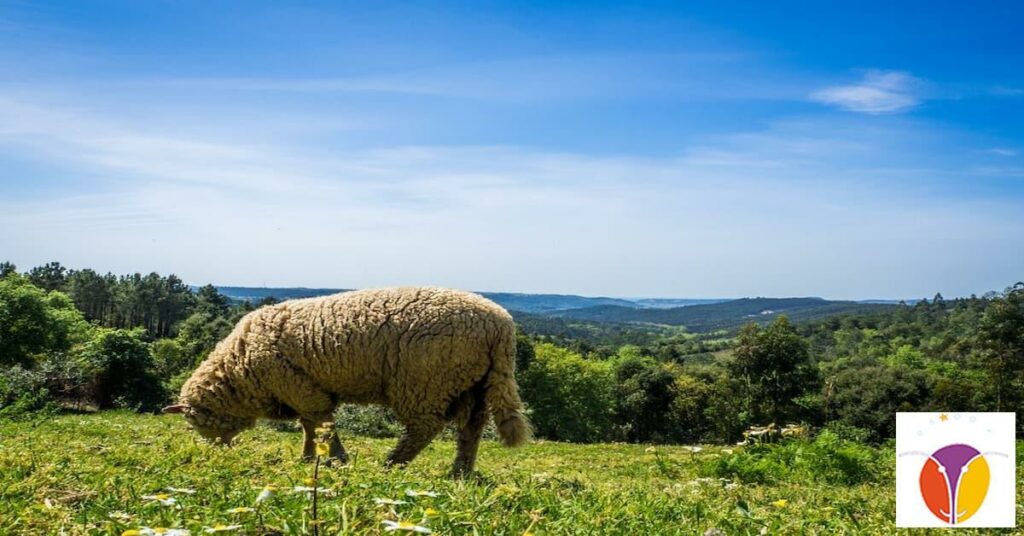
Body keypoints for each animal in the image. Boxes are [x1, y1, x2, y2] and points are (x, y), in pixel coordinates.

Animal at [163, 287, 530, 476]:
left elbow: (323, 424)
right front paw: (309, 457)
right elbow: (310, 427)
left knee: (425, 428)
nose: (217, 453)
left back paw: (392, 463)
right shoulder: (305, 389)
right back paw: (460, 472)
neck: (240, 369)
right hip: (473, 385)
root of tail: (500, 324)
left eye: (196, 423)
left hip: (425, 382)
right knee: (471, 429)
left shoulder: (300, 387)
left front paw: (337, 459)